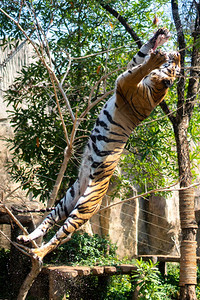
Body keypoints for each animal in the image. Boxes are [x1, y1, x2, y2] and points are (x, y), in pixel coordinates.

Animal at [16, 27, 180, 260]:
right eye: (177, 65)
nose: (178, 55)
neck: (156, 87)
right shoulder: (128, 74)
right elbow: (139, 58)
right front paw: (160, 36)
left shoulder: (126, 82)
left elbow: (140, 68)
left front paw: (156, 58)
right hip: (68, 199)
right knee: (48, 222)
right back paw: (27, 238)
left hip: (84, 207)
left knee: (59, 236)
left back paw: (38, 252)